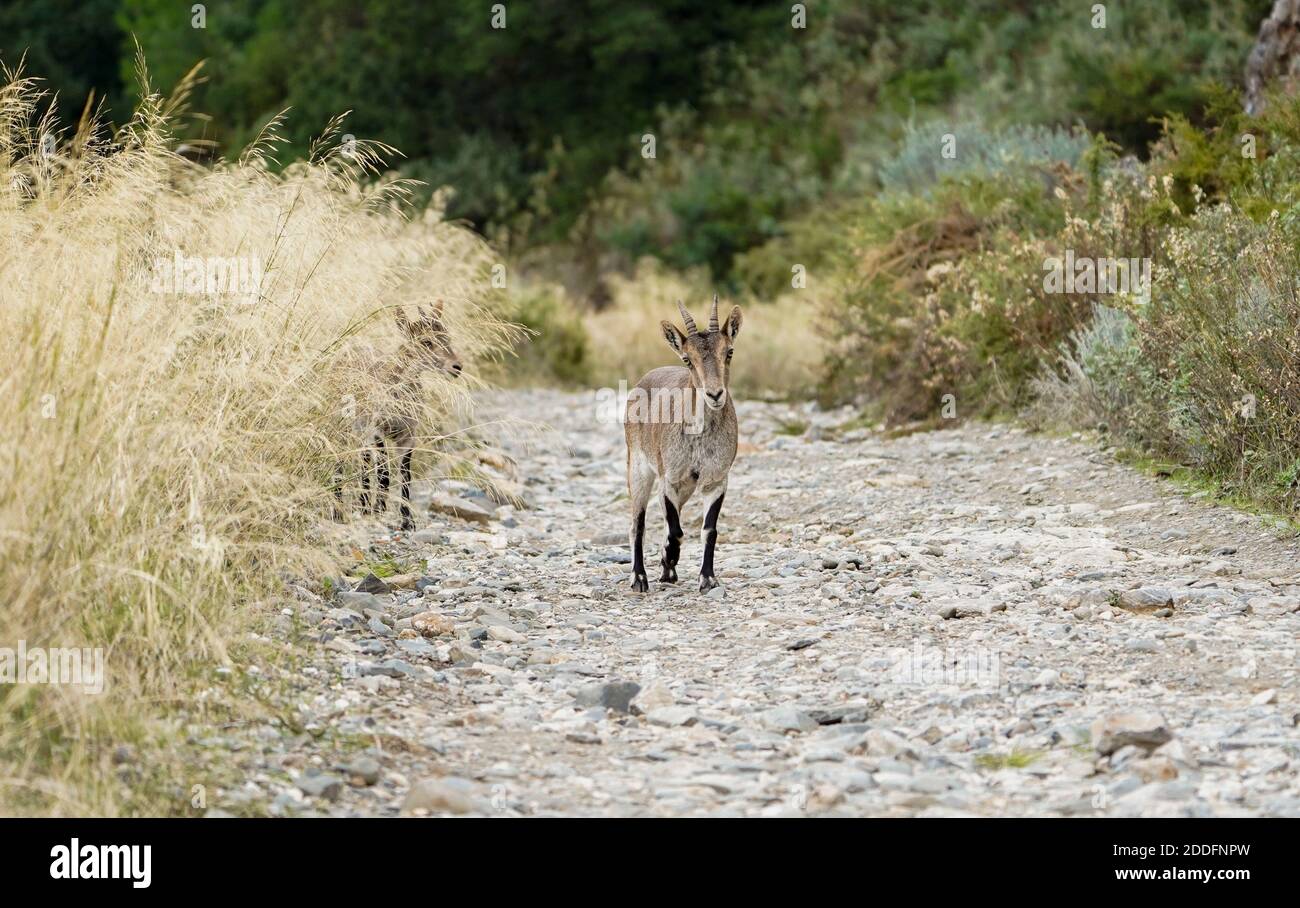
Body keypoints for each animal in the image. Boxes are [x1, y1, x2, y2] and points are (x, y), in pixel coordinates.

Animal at [335, 302, 462, 530]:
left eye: (447, 338)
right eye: (426, 341)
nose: (456, 367)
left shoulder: (408, 434)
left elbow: (405, 474)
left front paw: (406, 520)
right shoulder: (378, 429)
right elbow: (384, 473)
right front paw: (379, 509)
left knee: (364, 461)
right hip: (346, 425)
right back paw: (345, 509)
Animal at [625, 295, 742, 593]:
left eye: (729, 352)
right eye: (688, 359)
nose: (715, 394)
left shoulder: (716, 480)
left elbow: (709, 530)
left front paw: (707, 578)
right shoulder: (669, 478)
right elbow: (675, 530)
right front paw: (668, 557)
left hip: (687, 487)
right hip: (638, 469)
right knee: (637, 524)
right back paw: (639, 578)